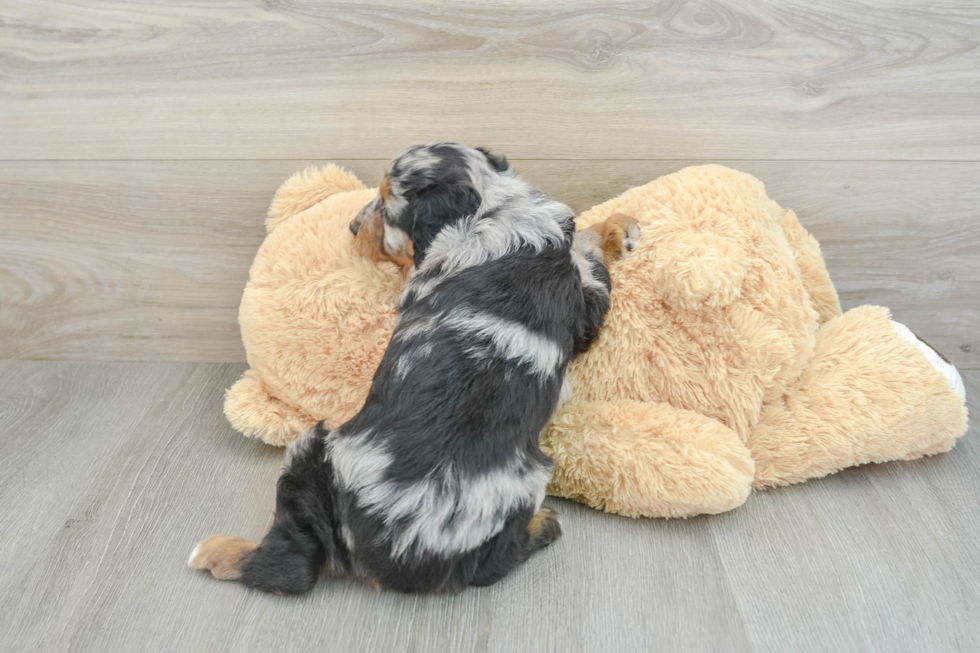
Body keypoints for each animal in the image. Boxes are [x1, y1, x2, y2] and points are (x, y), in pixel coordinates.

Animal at [191, 144, 636, 596]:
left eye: (388, 205)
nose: (352, 227)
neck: (492, 208)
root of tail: (397, 553)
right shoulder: (585, 308)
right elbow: (585, 249)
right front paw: (617, 228)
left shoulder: (586, 302)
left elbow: (587, 250)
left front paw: (616, 228)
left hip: (310, 446)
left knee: (291, 564)